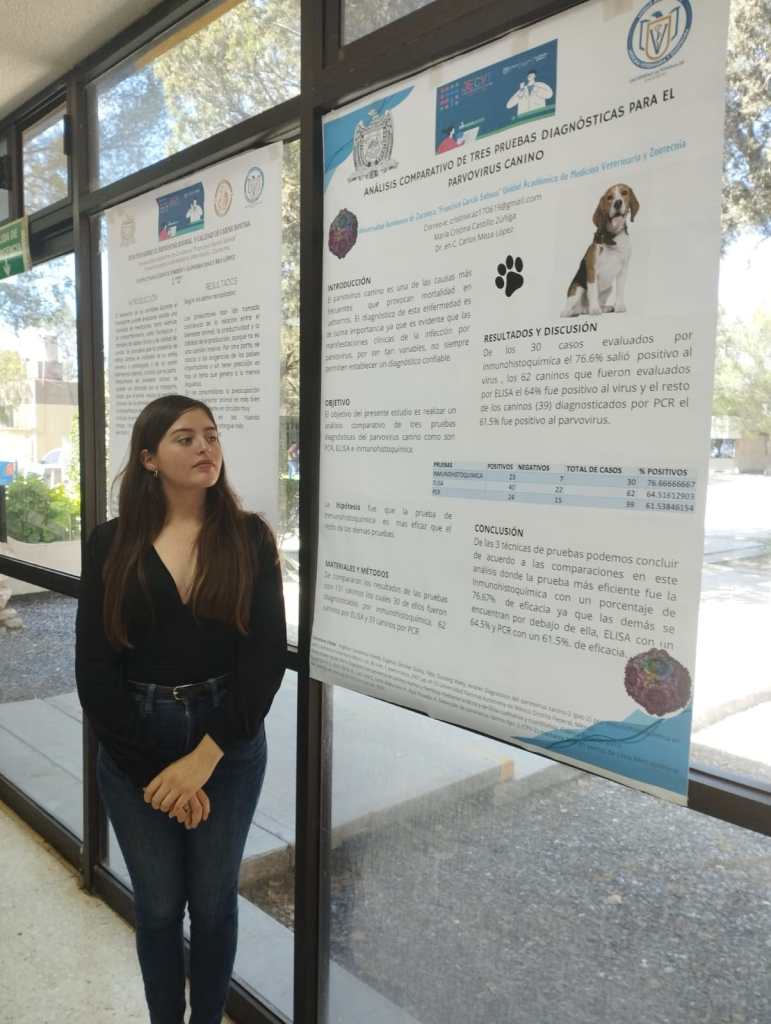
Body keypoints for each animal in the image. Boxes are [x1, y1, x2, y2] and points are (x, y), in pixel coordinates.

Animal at [561, 183, 640, 316]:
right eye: (609, 197)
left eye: (624, 192)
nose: (617, 203)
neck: (612, 236)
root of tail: (582, 308)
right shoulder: (592, 270)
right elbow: (592, 292)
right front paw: (594, 310)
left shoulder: (623, 271)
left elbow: (620, 291)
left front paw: (619, 306)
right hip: (578, 289)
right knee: (565, 311)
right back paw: (577, 312)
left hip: (608, 289)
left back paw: (603, 308)